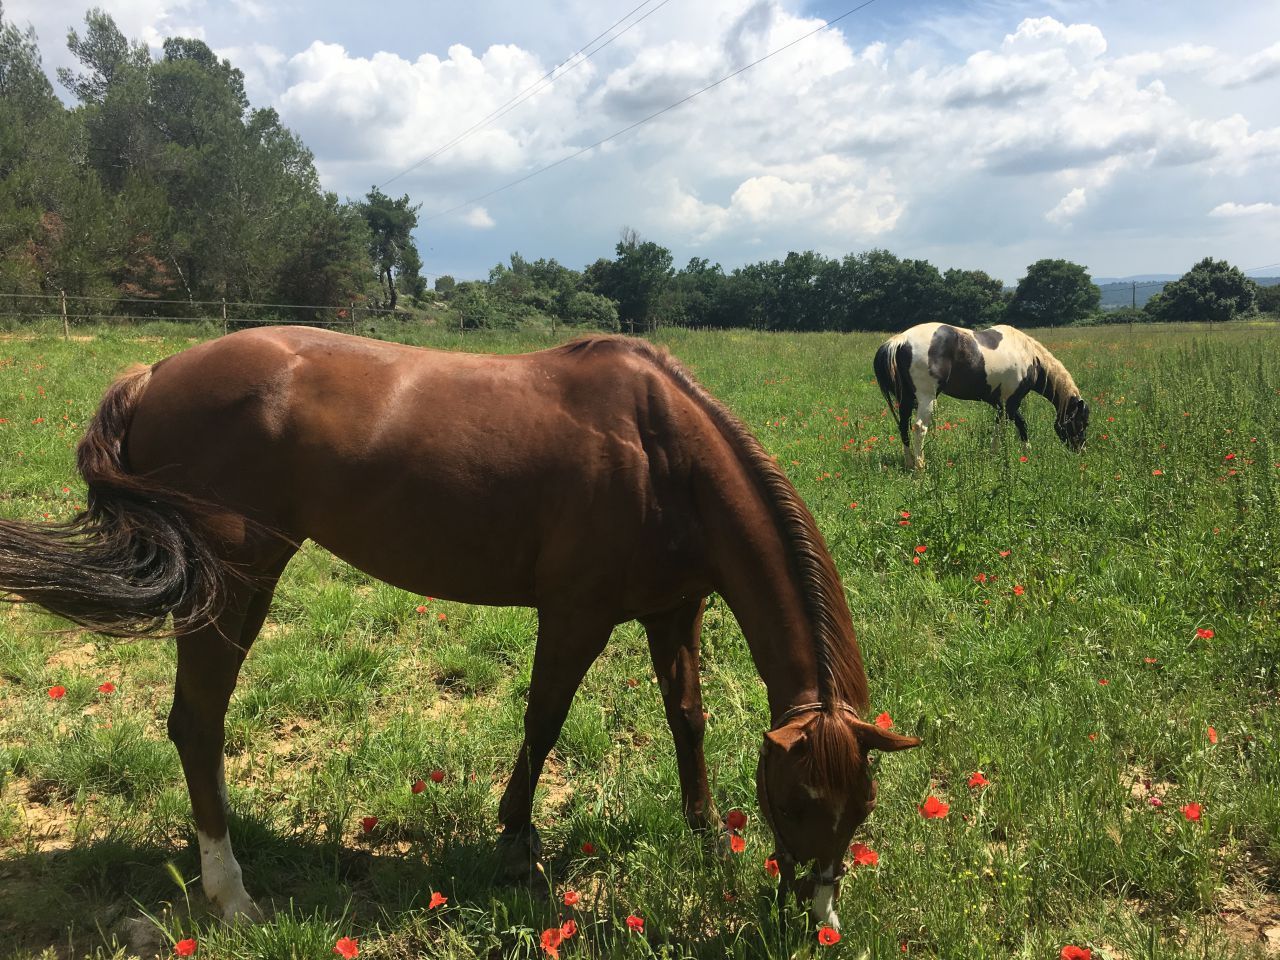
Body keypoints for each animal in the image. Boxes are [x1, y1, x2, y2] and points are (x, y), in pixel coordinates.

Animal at [0, 327, 919, 931]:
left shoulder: (675, 609)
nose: (816, 922)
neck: (664, 453)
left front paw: (703, 833)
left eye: (862, 809)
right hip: (232, 584)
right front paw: (516, 841)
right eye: (798, 802)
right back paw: (231, 894)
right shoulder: (577, 613)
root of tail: (158, 370)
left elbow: (686, 719)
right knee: (197, 723)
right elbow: (544, 721)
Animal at [873, 322, 1089, 470]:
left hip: (906, 399)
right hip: (926, 398)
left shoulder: (1001, 403)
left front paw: (1020, 452)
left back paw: (909, 463)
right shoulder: (1011, 402)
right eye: (1081, 422)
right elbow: (1010, 427)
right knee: (919, 428)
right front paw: (1003, 454)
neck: (1030, 357)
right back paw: (920, 467)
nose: (1081, 451)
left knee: (903, 427)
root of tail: (901, 340)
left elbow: (1014, 425)